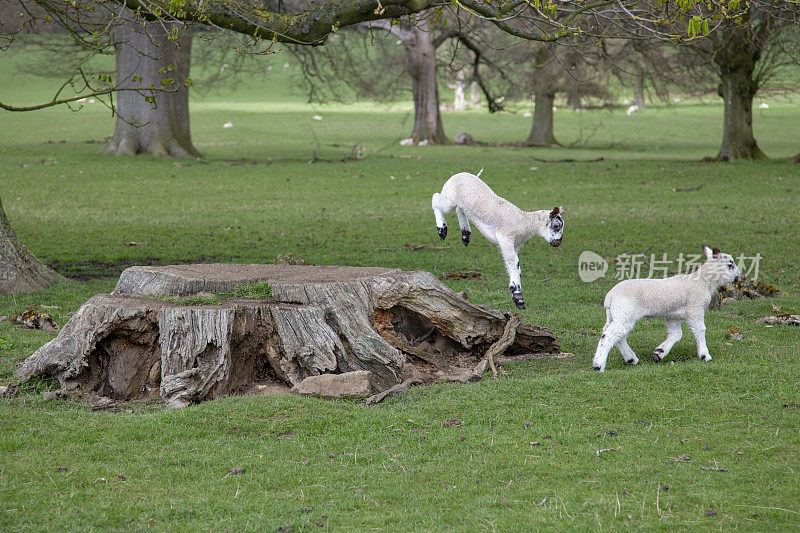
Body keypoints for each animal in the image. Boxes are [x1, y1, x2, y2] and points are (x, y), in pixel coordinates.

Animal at [432, 171, 564, 308]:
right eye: (556, 226)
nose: (559, 242)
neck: (525, 222)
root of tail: (461, 173)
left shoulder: (515, 245)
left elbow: (516, 267)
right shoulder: (506, 239)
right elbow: (514, 262)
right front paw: (518, 296)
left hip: (463, 203)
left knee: (460, 210)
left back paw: (465, 234)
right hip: (450, 196)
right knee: (436, 199)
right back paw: (442, 229)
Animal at [592, 242, 740, 370]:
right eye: (730, 264)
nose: (738, 277)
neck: (703, 282)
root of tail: (610, 296)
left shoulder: (673, 315)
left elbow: (676, 334)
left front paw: (659, 353)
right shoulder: (694, 308)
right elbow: (700, 330)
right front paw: (705, 355)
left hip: (618, 315)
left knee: (616, 335)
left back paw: (631, 359)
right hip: (625, 313)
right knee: (609, 335)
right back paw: (598, 365)